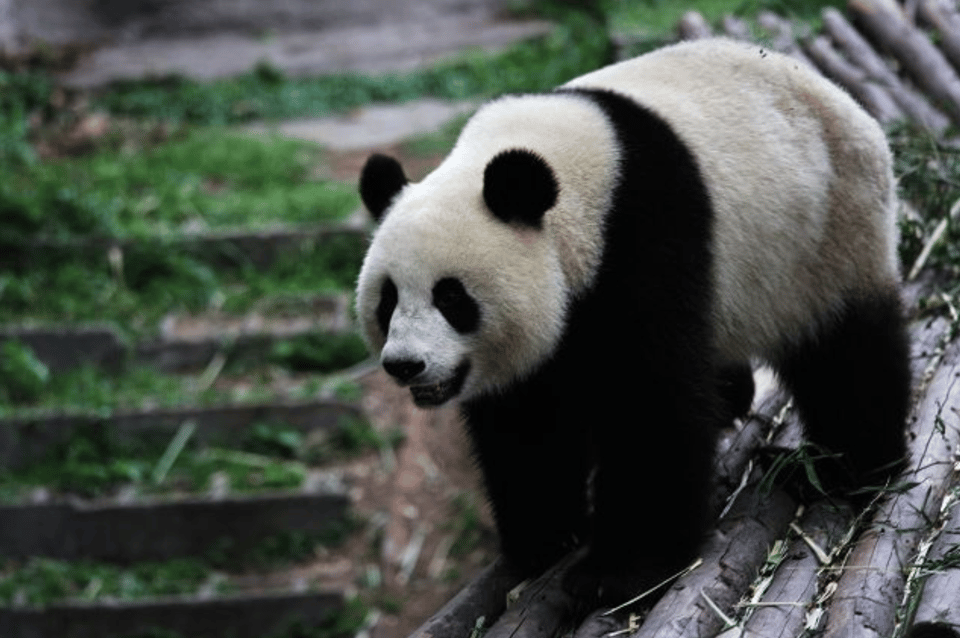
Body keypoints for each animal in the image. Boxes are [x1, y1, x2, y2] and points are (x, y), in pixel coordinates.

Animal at [356, 38, 912, 608]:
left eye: (451, 297)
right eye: (388, 299)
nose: (405, 364)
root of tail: (841, 98)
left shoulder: (641, 237)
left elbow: (649, 403)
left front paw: (616, 572)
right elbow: (525, 419)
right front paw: (544, 539)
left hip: (828, 234)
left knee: (847, 352)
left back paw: (846, 467)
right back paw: (736, 399)